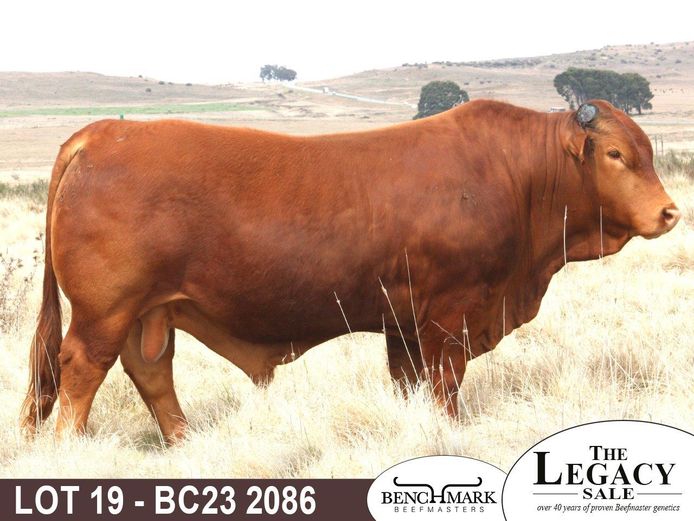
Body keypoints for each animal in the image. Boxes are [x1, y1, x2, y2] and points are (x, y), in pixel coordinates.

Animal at [21, 99, 680, 444]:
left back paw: (186, 443)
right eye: (616, 154)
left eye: (646, 150)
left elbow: (412, 384)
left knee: (150, 372)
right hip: (105, 312)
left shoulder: (403, 325)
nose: (669, 212)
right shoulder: (451, 317)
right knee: (81, 372)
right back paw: (72, 446)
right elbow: (445, 388)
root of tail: (102, 132)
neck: (516, 175)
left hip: (147, 312)